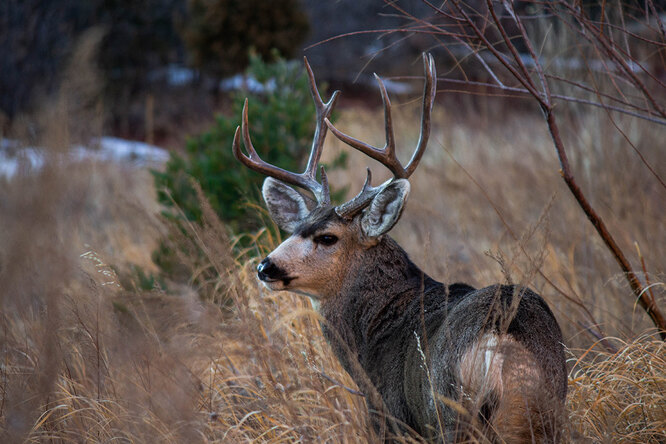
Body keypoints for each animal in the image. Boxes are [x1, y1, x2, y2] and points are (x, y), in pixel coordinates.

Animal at [231, 53, 564, 442]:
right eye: (296, 228)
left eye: (327, 237)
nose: (265, 267)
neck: (371, 339)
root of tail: (499, 341)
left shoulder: (390, 417)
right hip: (547, 407)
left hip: (449, 414)